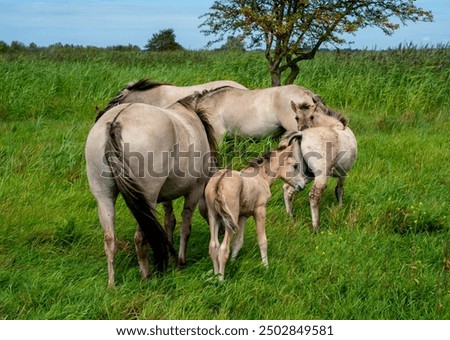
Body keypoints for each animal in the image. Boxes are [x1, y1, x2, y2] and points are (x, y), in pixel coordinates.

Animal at [86, 92, 218, 284]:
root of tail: (115, 123)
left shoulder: (165, 195)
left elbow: (169, 221)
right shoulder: (195, 191)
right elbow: (185, 226)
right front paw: (180, 261)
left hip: (104, 197)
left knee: (110, 238)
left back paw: (112, 283)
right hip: (147, 198)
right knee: (141, 238)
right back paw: (146, 275)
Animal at [206, 137, 304, 280]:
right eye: (295, 165)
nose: (302, 185)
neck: (261, 177)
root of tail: (219, 182)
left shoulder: (243, 216)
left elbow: (238, 242)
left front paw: (233, 262)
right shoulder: (260, 210)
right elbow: (262, 240)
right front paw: (266, 267)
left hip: (214, 216)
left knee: (213, 246)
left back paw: (214, 275)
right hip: (229, 220)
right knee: (223, 248)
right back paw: (220, 279)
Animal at [282, 103, 358, 231]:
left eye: (311, 117)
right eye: (296, 117)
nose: (302, 128)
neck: (335, 126)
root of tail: (302, 135)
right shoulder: (343, 173)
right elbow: (339, 190)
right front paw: (339, 208)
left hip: (305, 175)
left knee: (288, 189)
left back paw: (290, 217)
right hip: (320, 176)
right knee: (314, 196)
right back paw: (316, 227)